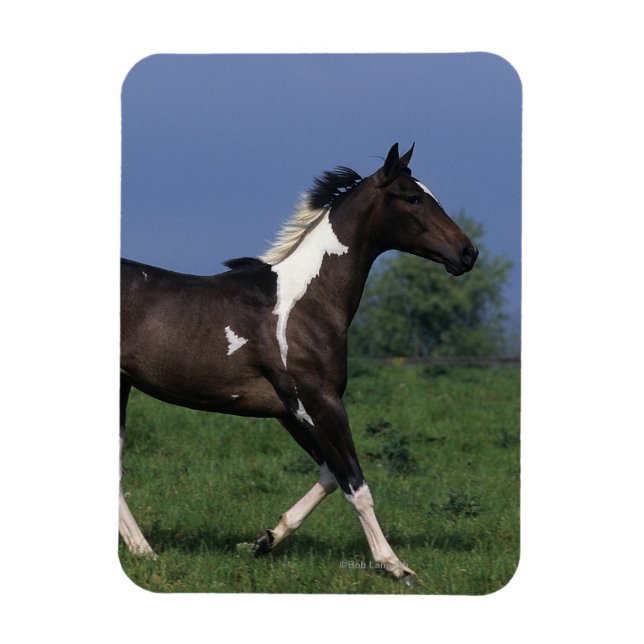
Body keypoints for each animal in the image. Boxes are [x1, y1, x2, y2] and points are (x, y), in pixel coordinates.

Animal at [120, 143, 479, 582]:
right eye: (412, 197)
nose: (467, 252)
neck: (307, 302)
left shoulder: (289, 411)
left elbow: (329, 475)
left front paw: (263, 540)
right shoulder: (319, 401)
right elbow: (355, 483)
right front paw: (395, 565)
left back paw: (144, 551)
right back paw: (146, 552)